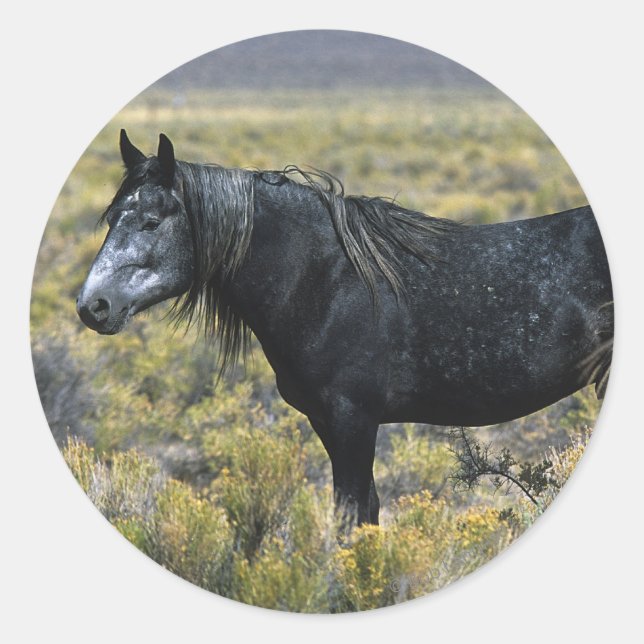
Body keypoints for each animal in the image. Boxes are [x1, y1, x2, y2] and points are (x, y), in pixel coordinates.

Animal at [77, 130, 613, 526]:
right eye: (112, 217)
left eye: (151, 220)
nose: (92, 306)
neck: (325, 278)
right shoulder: (327, 422)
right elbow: (362, 514)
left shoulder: (354, 419)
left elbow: (352, 516)